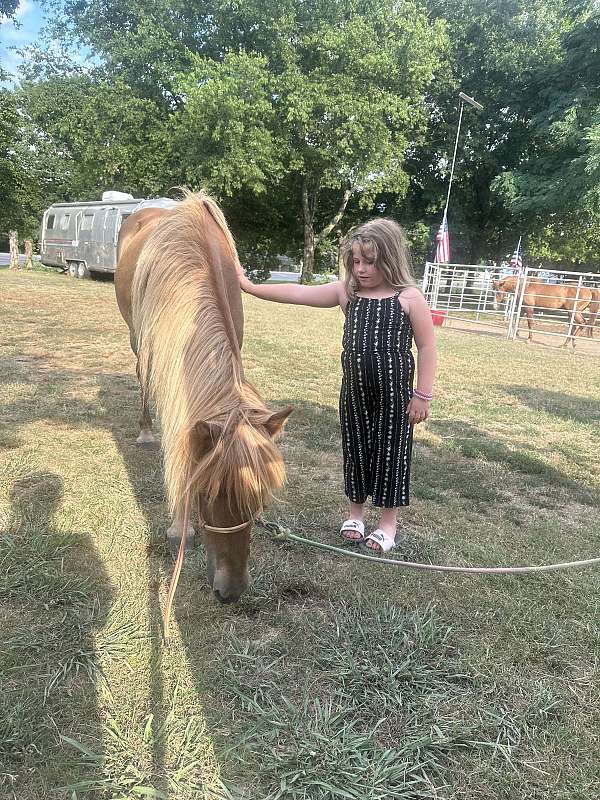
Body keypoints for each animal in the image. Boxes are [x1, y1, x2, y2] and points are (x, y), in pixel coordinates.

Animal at [113, 192, 292, 608]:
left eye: (260, 499)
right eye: (206, 493)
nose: (231, 592)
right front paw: (180, 529)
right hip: (137, 337)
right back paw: (145, 431)